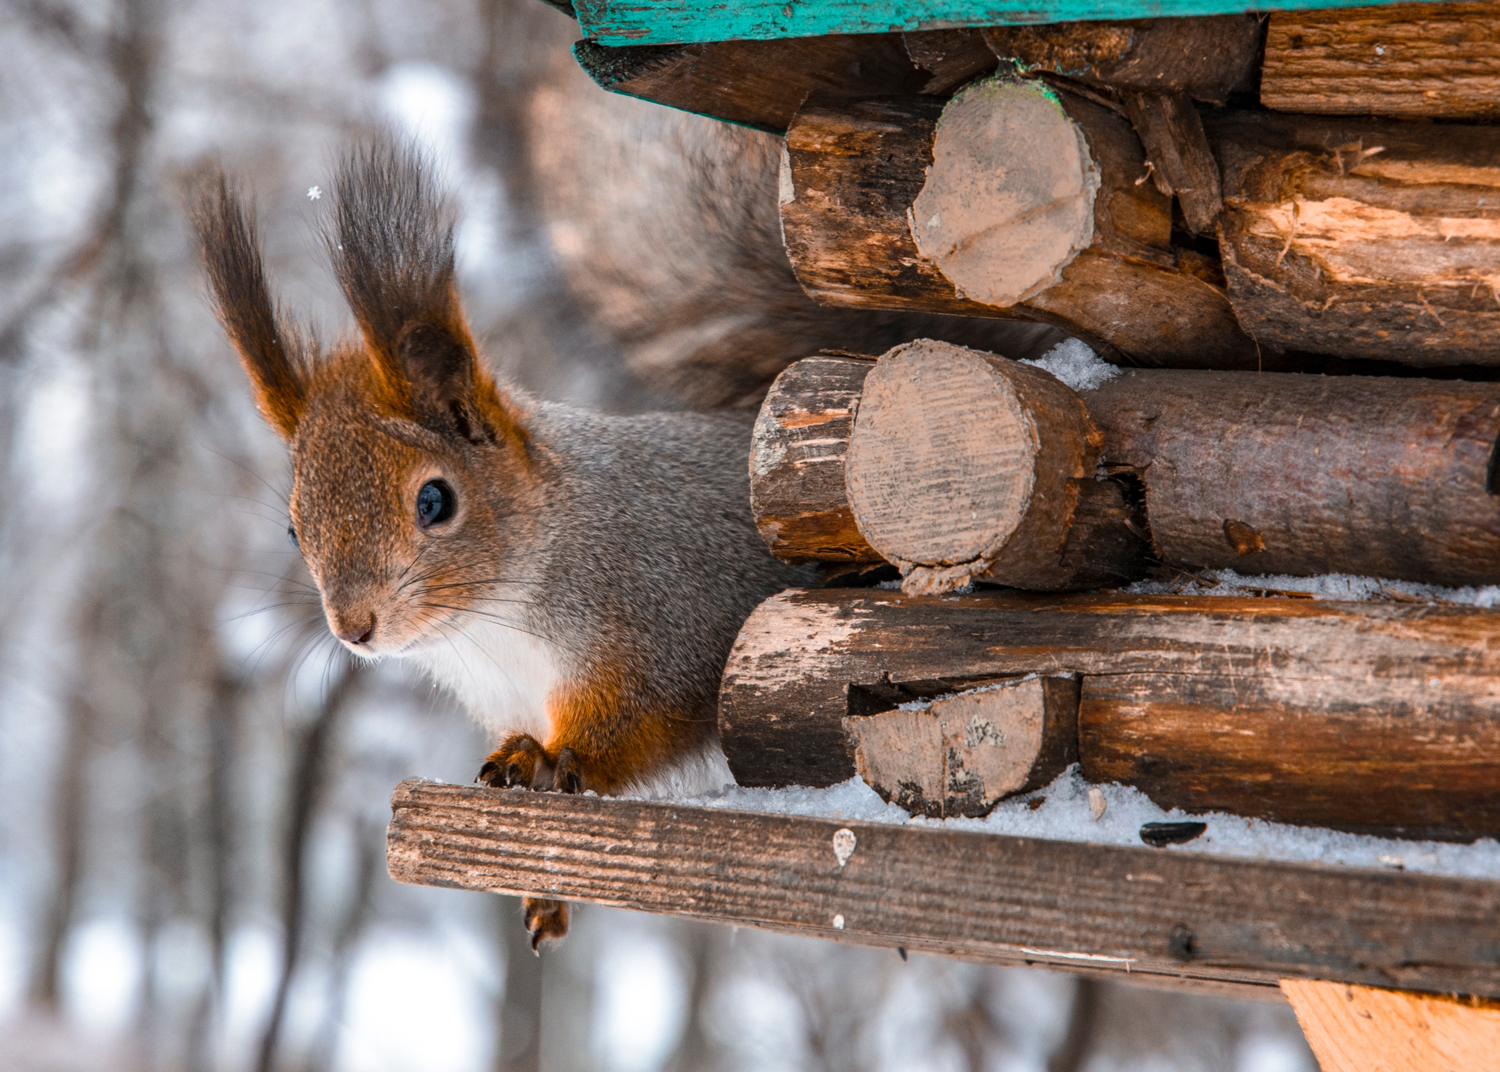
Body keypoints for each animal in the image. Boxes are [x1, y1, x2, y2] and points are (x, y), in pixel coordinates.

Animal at [193, 140, 816, 947]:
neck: (495, 625)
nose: (353, 630)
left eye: (434, 500)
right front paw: (538, 855)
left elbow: (649, 722)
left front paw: (561, 757)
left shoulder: (671, 619)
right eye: (296, 527)